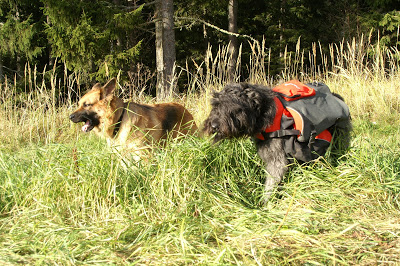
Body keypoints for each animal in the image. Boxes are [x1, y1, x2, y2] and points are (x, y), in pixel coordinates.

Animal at [203, 82, 350, 201]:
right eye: (216, 105)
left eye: (233, 107)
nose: (214, 126)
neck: (263, 114)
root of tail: (336, 97)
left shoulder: (277, 161)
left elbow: (271, 184)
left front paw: (264, 205)